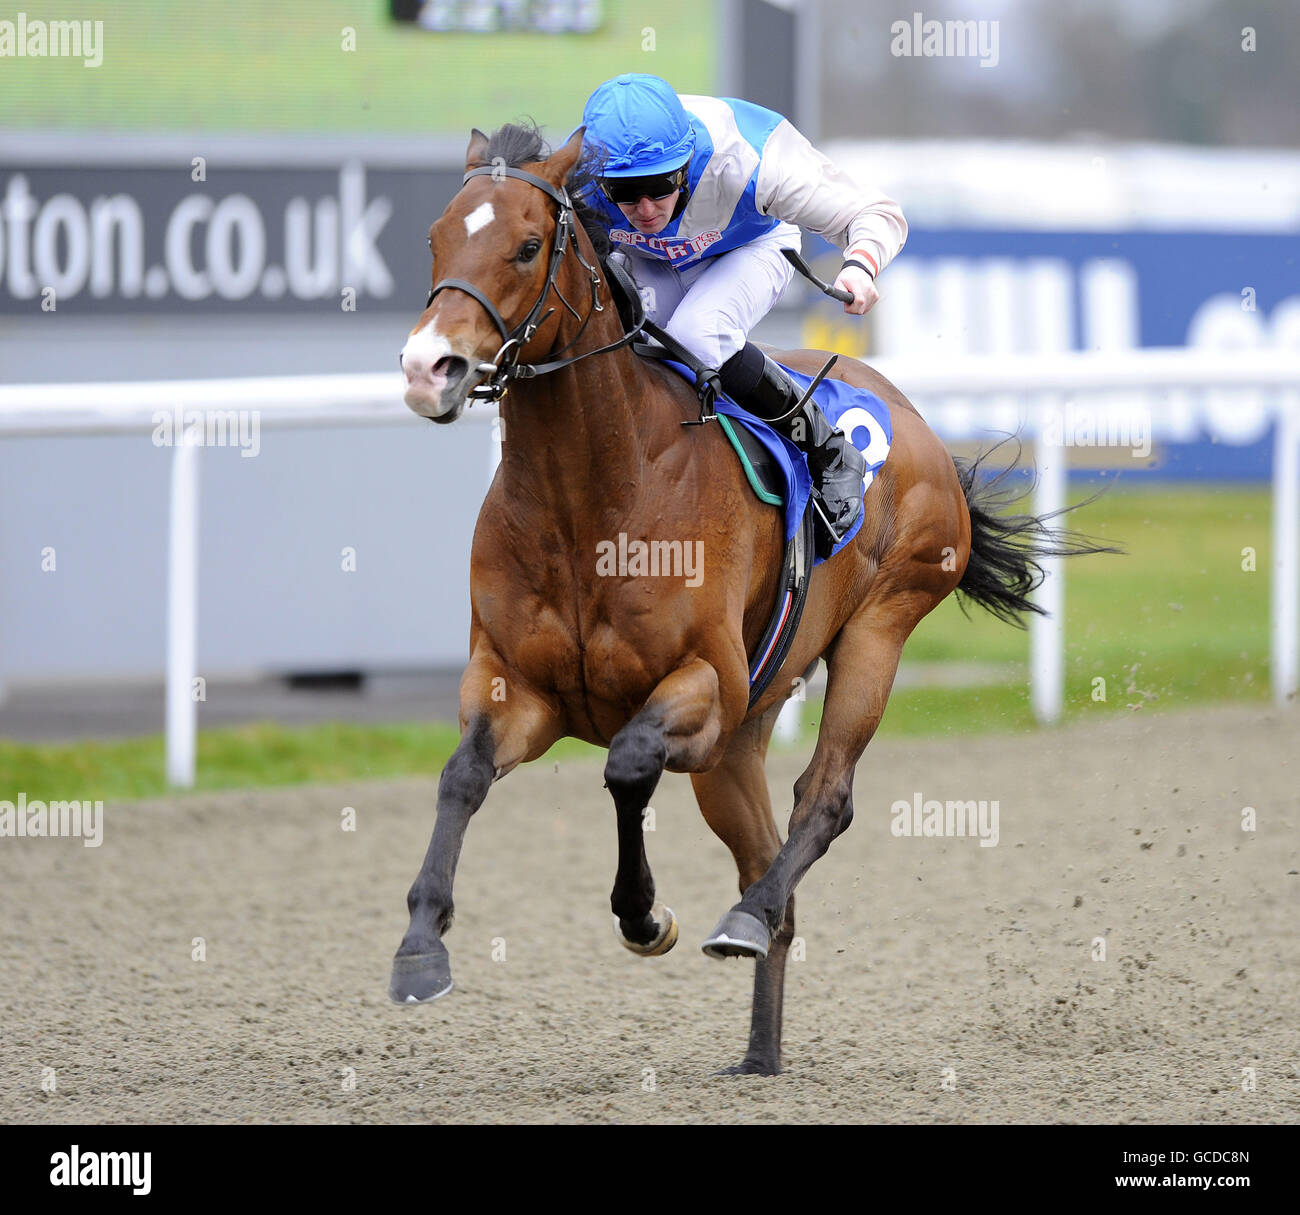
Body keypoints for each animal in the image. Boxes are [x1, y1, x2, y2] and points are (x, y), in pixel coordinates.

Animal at [391, 121, 1110, 1075]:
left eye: (526, 245)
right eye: (437, 238)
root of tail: (916, 418)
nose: (426, 366)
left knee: (825, 799)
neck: (596, 496)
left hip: (877, 629)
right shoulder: (520, 686)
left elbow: (627, 764)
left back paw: (743, 921)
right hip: (739, 742)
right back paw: (759, 1048)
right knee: (771, 865)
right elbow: (462, 775)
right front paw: (420, 948)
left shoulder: (704, 686)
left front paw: (644, 915)